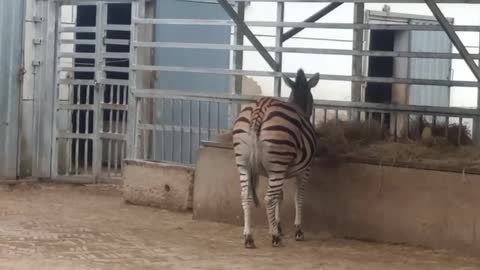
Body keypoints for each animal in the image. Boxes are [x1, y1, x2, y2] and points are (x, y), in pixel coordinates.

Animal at [232, 68, 318, 248]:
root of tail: (261, 107)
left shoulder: (279, 171)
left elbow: (280, 196)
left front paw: (277, 226)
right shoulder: (304, 170)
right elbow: (298, 197)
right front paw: (297, 230)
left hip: (243, 163)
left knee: (245, 196)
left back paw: (248, 237)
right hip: (278, 163)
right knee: (268, 199)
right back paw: (275, 238)